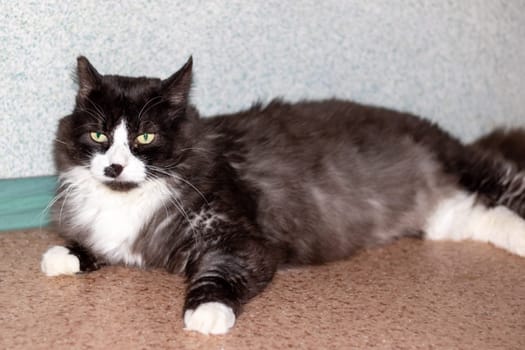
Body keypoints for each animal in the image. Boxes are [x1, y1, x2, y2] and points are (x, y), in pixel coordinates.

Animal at [41, 56, 524, 334]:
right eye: (99, 135)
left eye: (145, 137)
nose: (114, 167)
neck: (127, 199)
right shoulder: (116, 236)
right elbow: (90, 246)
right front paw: (62, 255)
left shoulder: (241, 240)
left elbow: (216, 276)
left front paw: (207, 314)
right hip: (450, 220)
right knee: (490, 219)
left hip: (475, 171)